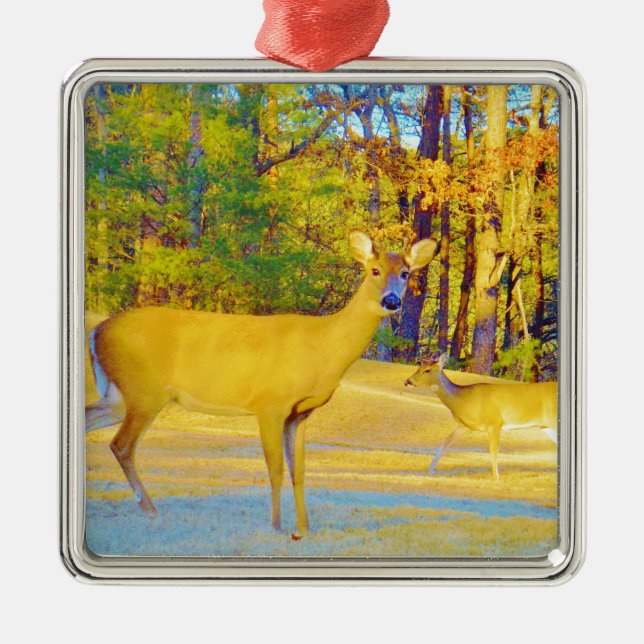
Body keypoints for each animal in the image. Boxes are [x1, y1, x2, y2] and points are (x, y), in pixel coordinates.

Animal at [86, 230, 439, 539]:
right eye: (374, 270)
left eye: (405, 273)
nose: (391, 301)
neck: (324, 348)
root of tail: (96, 331)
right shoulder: (270, 403)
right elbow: (276, 468)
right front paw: (276, 526)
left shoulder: (300, 413)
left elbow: (299, 470)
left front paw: (304, 528)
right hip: (144, 391)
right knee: (121, 445)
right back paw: (150, 508)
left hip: (119, 395)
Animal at [404, 352, 557, 480]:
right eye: (419, 367)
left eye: (427, 370)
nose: (407, 382)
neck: (464, 400)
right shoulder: (467, 426)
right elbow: (446, 441)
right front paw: (430, 470)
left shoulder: (494, 422)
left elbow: (493, 450)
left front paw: (496, 478)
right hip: (545, 425)